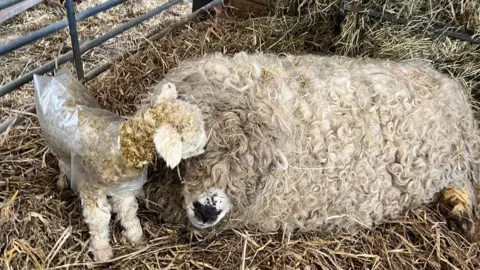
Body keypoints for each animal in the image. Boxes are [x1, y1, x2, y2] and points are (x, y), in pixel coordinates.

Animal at [33, 69, 206, 262]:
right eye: (191, 137)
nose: (206, 145)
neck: (122, 146)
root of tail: (55, 75)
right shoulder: (91, 189)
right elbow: (99, 219)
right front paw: (102, 251)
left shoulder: (123, 189)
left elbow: (128, 211)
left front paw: (136, 237)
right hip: (56, 147)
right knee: (62, 164)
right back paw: (62, 181)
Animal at [142, 52, 480, 238]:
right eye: (192, 151)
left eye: (254, 164)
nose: (207, 210)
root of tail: (452, 86)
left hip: (461, 159)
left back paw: (461, 212)